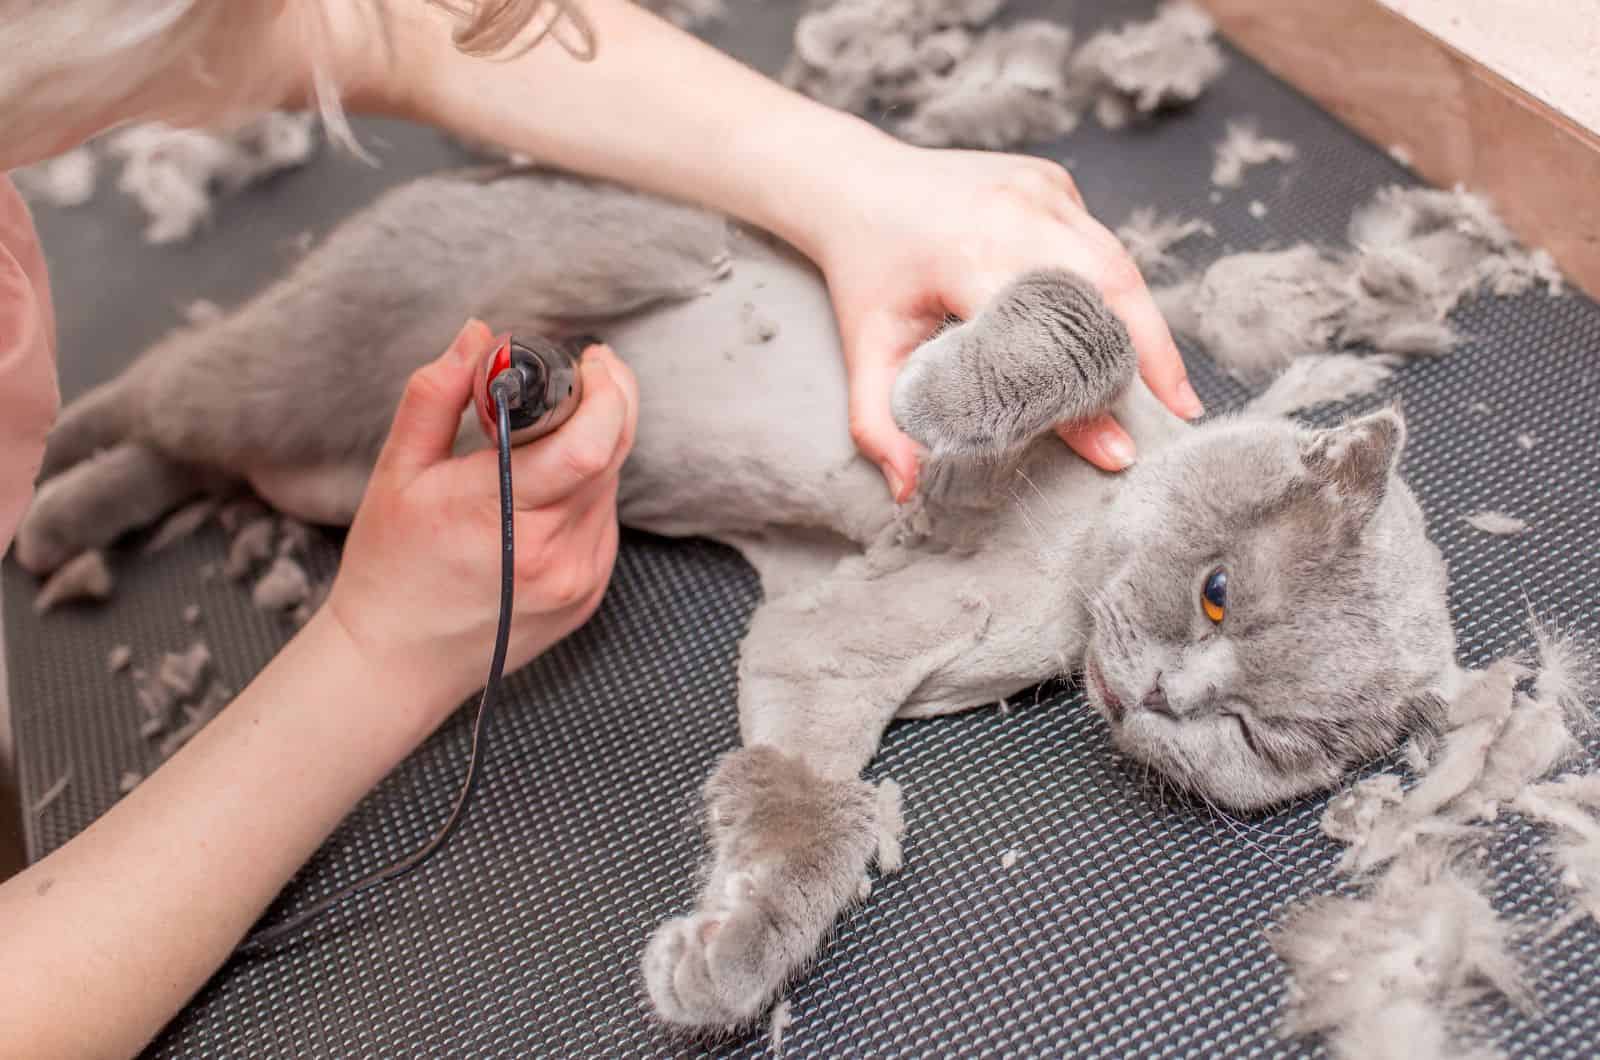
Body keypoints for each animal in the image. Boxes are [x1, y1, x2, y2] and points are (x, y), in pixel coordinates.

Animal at [15, 170, 1465, 1031]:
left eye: (1263, 737)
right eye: (1218, 594)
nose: (1167, 692)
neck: (1058, 586)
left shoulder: (820, 644)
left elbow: (805, 802)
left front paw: (732, 953)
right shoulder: (1056, 359)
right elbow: (1073, 315)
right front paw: (938, 394)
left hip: (321, 458)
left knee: (187, 455)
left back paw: (62, 515)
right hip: (318, 350)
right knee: (160, 387)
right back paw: (38, 456)